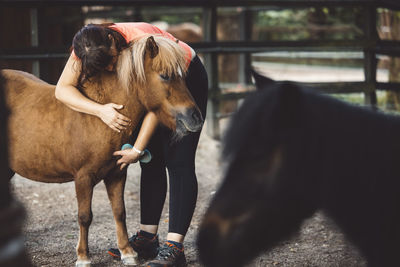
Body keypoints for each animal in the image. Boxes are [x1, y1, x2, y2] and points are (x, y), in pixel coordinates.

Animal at [2, 35, 203, 267]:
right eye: (165, 76)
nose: (195, 117)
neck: (99, 116)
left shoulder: (117, 174)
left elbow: (119, 212)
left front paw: (127, 252)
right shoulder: (83, 177)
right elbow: (85, 216)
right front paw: (83, 256)